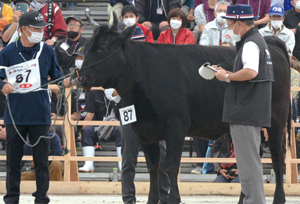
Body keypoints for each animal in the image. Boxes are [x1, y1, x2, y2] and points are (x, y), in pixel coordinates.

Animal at [75, 14, 290, 204]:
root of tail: (271, 43)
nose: (80, 77)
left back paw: (279, 198)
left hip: (276, 117)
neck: (143, 72)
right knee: (252, 158)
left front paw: (174, 199)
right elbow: (153, 166)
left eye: (102, 48)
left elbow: (171, 165)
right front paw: (152, 200)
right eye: (87, 47)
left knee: (277, 156)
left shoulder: (176, 126)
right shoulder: (144, 130)